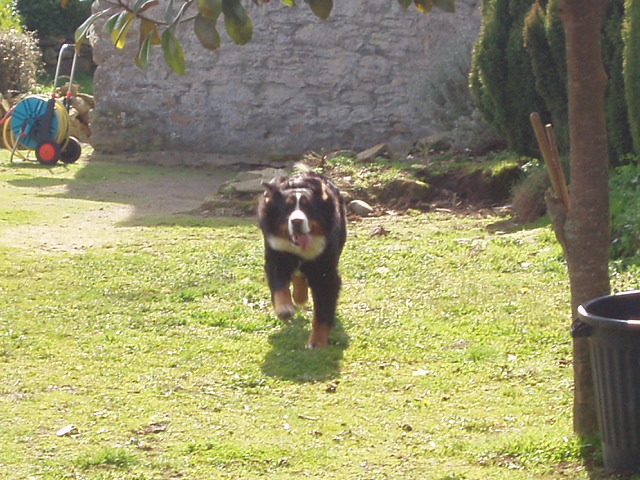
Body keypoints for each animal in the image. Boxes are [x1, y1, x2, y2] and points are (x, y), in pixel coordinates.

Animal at [258, 172, 348, 348]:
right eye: (287, 209)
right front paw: (285, 309)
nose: (296, 221)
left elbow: (322, 310)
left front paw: (317, 342)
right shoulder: (276, 255)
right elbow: (279, 287)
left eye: (308, 208)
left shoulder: (325, 271)